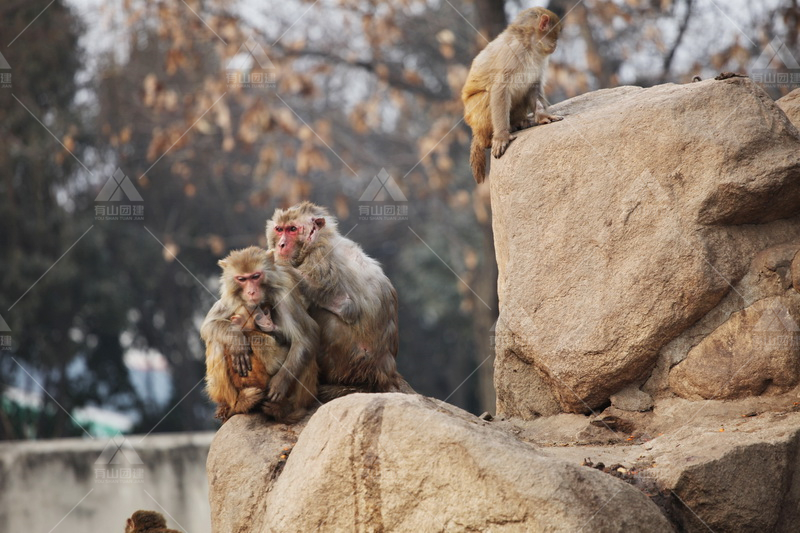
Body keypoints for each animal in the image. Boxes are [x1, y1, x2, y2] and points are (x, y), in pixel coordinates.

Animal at [202, 246, 320, 424]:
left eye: (256, 276)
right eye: (242, 279)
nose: (251, 292)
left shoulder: (284, 293)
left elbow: (306, 337)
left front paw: (279, 383)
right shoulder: (232, 298)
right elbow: (208, 325)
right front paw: (237, 340)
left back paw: (285, 410)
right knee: (216, 341)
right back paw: (238, 404)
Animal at [268, 200, 412, 394]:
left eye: (292, 229)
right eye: (279, 229)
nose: (281, 245)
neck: (319, 238)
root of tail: (383, 372)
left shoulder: (321, 260)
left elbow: (347, 307)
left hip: (349, 362)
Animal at [460, 6, 564, 183]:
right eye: (555, 34)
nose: (556, 45)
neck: (529, 45)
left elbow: (533, 85)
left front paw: (543, 116)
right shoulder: (513, 52)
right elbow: (500, 89)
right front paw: (502, 136)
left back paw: (520, 123)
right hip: (473, 115)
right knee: (487, 97)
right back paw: (492, 138)